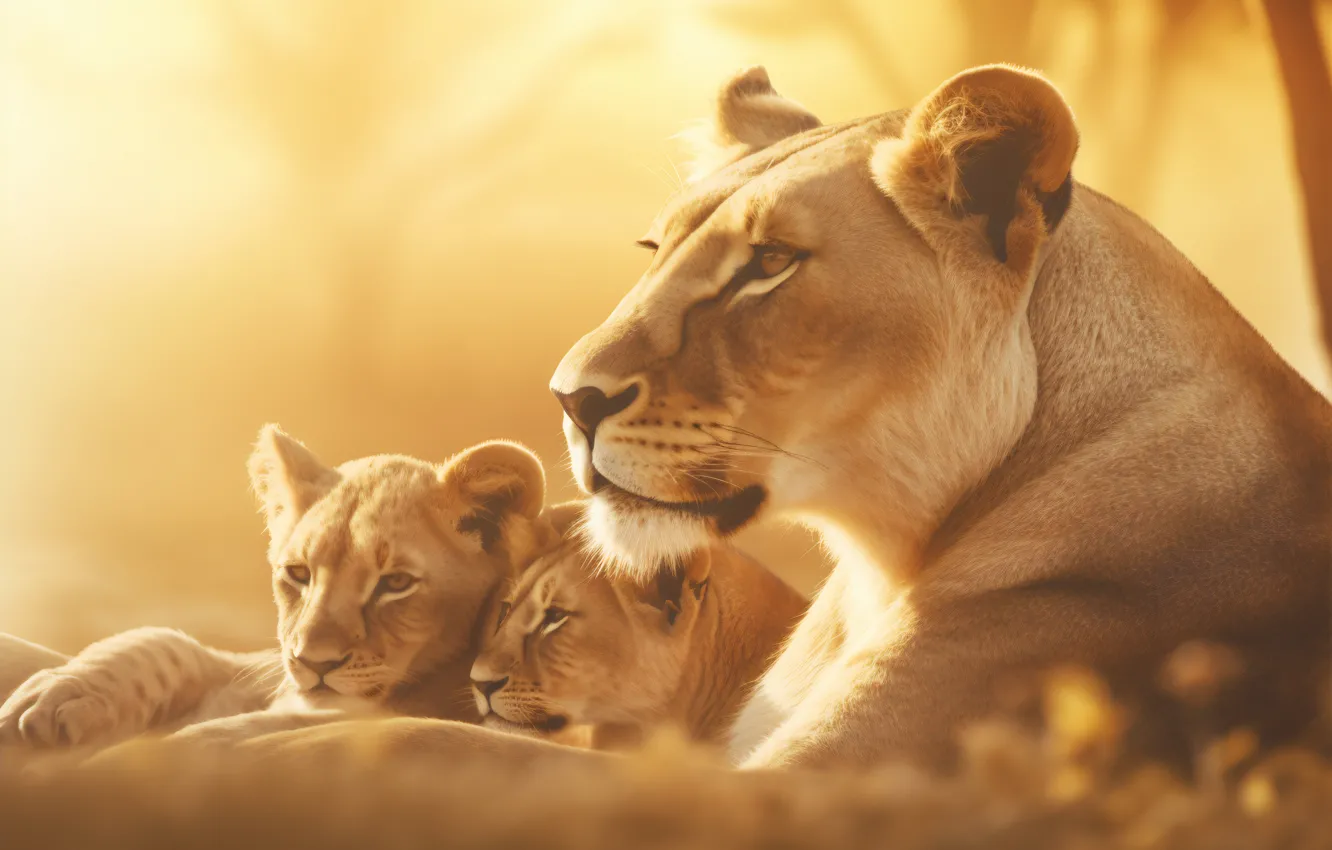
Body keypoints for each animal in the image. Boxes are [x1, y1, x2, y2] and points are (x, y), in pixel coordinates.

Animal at [0, 425, 553, 750]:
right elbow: (162, 640)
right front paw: (55, 694)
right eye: (299, 574)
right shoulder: (255, 668)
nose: (313, 663)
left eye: (395, 583)